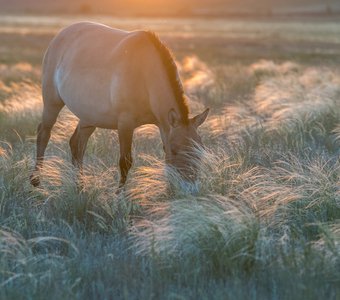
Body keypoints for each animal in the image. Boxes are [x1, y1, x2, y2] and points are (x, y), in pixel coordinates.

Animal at [29, 22, 210, 189]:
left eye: (200, 150)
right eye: (174, 149)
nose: (189, 188)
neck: (144, 74)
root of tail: (60, 35)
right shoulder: (125, 124)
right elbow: (125, 162)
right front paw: (120, 197)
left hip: (89, 117)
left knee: (77, 144)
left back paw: (80, 187)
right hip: (52, 103)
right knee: (44, 134)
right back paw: (36, 181)